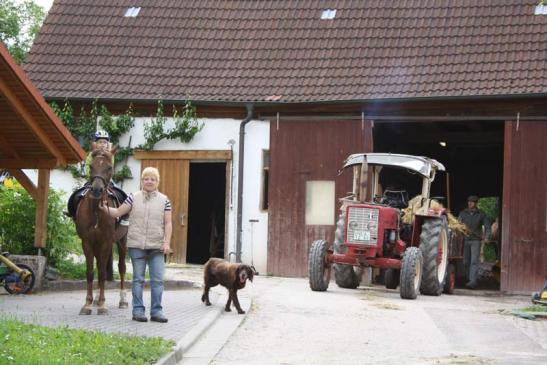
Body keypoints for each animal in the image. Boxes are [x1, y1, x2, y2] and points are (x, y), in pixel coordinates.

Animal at [75, 149, 128, 314]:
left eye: (109, 167)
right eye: (91, 166)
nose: (97, 190)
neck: (97, 211)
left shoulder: (106, 242)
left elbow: (103, 273)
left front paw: (103, 305)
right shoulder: (87, 242)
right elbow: (90, 272)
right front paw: (87, 303)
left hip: (121, 242)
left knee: (121, 267)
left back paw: (123, 300)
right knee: (99, 266)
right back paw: (97, 299)